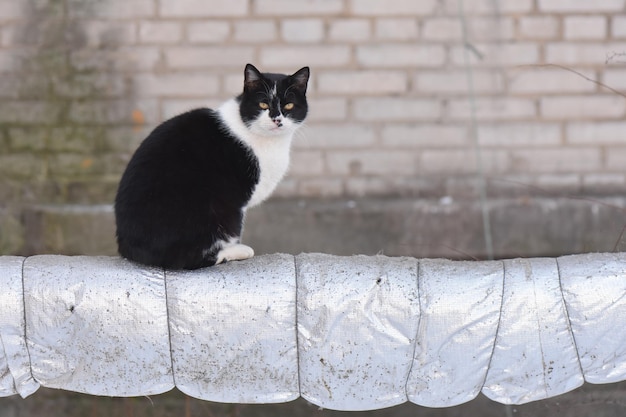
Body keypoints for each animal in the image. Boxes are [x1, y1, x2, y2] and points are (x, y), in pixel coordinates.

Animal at [114, 62, 310, 270]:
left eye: (289, 105)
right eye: (263, 104)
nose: (277, 119)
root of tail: (127, 249)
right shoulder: (238, 201)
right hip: (212, 210)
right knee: (184, 258)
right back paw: (237, 251)